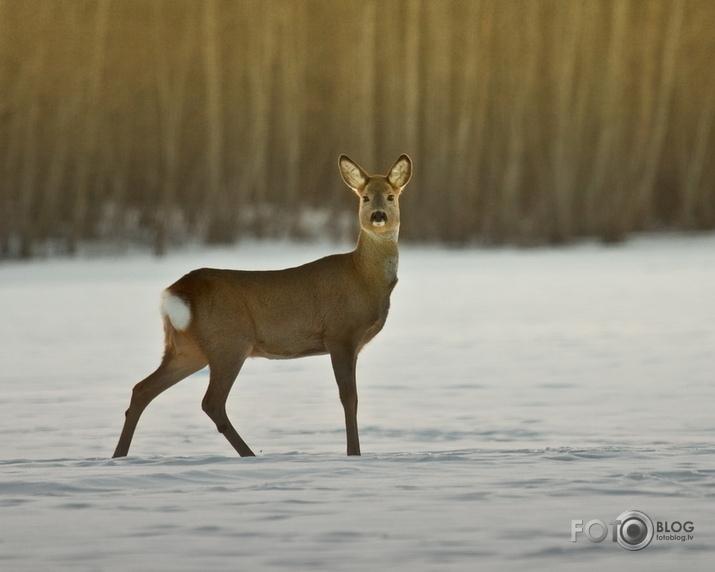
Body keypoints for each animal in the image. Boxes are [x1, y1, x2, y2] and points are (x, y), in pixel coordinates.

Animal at [113, 154, 414, 458]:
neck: (364, 278)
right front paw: (354, 453)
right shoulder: (340, 334)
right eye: (365, 197)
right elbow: (349, 397)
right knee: (211, 402)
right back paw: (248, 454)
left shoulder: (350, 342)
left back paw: (119, 456)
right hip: (229, 342)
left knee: (142, 389)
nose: (378, 215)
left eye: (390, 196)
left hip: (187, 348)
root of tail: (175, 292)